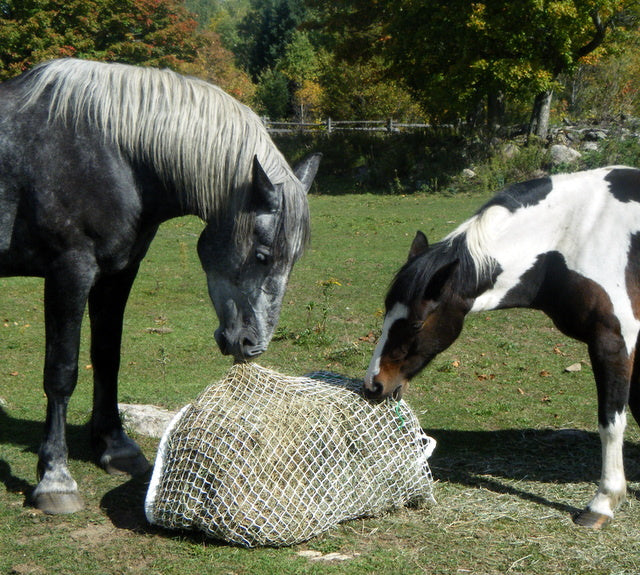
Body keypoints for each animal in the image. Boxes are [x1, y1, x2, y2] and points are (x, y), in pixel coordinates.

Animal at [0, 58, 320, 516]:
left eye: (292, 261)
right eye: (262, 255)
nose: (251, 345)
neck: (115, 152)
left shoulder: (117, 273)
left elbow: (107, 357)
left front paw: (115, 447)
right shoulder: (70, 271)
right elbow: (61, 372)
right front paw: (55, 478)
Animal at [364, 165, 640, 528]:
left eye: (416, 324)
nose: (373, 384)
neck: (579, 232)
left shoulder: (613, 341)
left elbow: (610, 422)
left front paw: (603, 502)